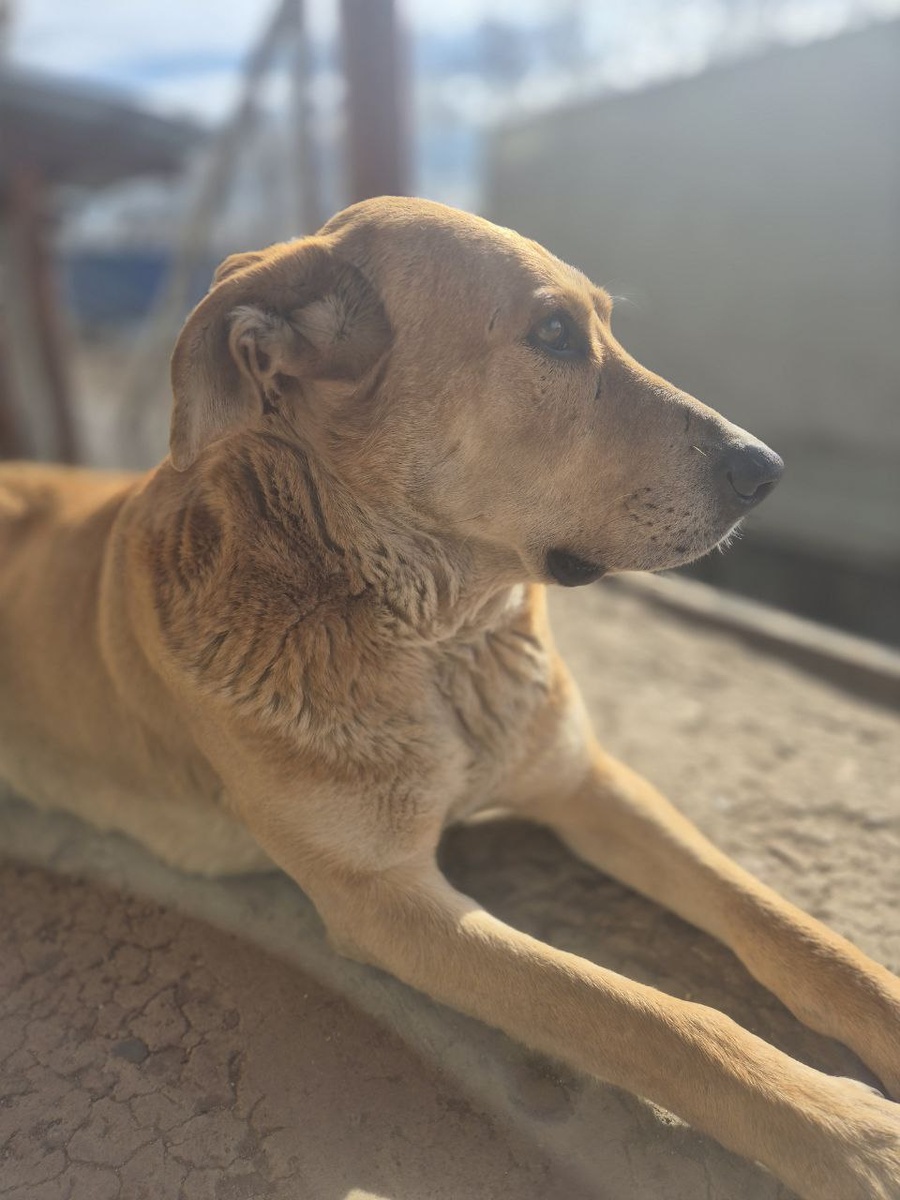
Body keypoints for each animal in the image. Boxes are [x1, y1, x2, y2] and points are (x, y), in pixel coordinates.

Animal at [0, 198, 897, 1198]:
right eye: (553, 334)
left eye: (605, 324)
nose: (766, 470)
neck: (442, 641)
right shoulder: (390, 902)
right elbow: (643, 1016)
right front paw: (853, 1135)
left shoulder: (588, 779)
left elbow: (788, 928)